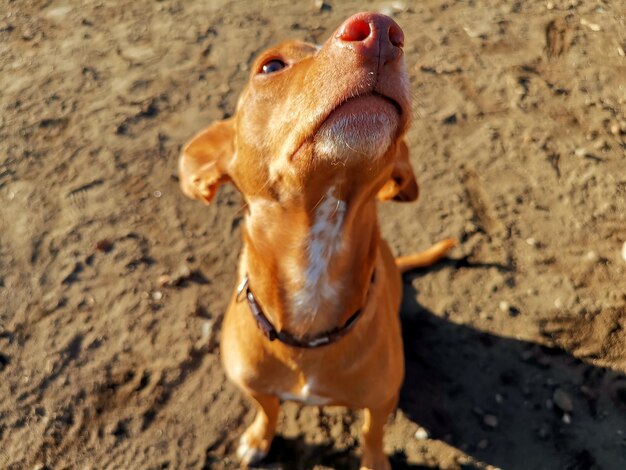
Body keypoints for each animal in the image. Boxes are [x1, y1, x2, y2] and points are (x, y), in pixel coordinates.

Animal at [178, 11, 450, 470]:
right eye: (271, 65)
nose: (380, 29)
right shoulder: (253, 384)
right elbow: (267, 408)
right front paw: (259, 437)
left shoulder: (382, 400)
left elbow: (371, 433)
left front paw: (374, 462)